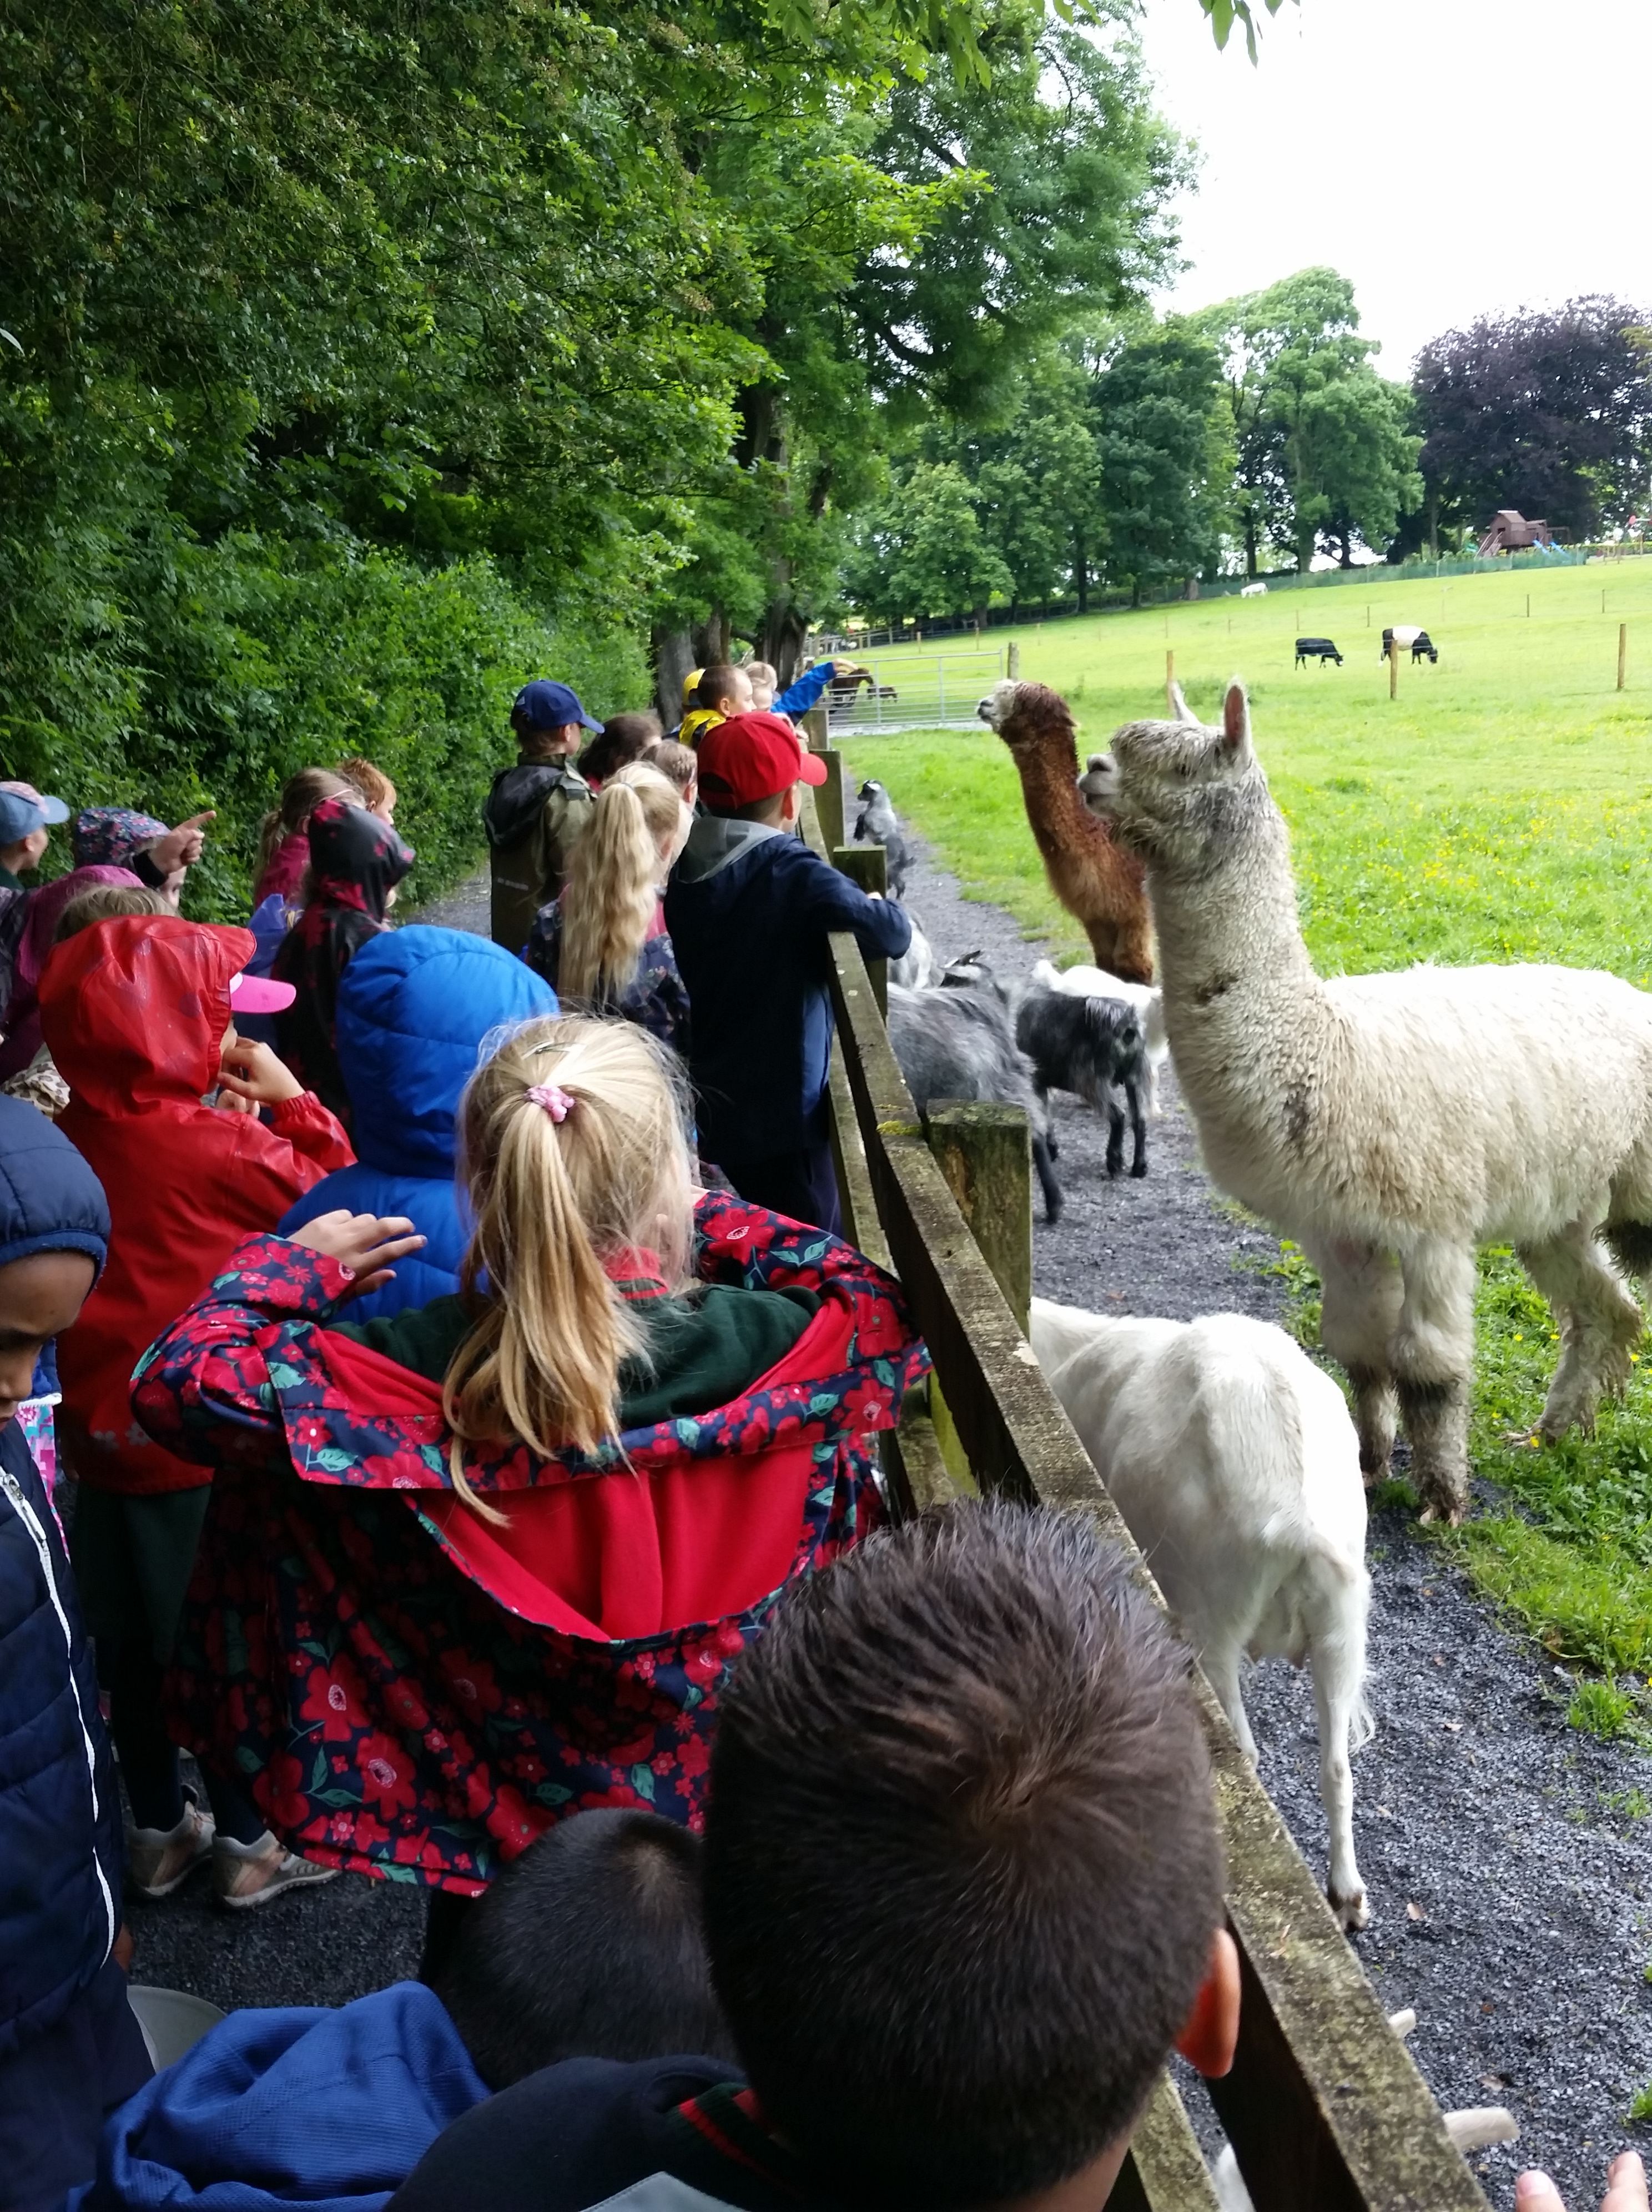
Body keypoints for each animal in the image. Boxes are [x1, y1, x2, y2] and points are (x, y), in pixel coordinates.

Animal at [853, 778, 911, 899]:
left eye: (865, 790)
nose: (859, 797)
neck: (880, 806)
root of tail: (903, 855)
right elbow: (861, 816)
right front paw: (858, 834)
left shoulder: (873, 824)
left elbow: (862, 817)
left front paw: (859, 835)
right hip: (895, 869)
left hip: (889, 867)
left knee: (899, 883)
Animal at [976, 679, 1153, 985]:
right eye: (998, 689)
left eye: (1023, 702)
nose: (983, 704)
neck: (1099, 836)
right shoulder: (1096, 916)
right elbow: (1106, 968)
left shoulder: (1136, 912)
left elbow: (1136, 970)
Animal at [1015, 986, 1148, 1179]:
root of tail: (1127, 1023)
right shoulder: (1039, 1083)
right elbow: (1045, 1114)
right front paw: (1051, 1149)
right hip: (1134, 1077)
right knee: (1140, 1121)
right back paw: (1140, 1167)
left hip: (1092, 1081)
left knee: (1118, 1116)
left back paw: (1114, 1161)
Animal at [1030, 1296, 1373, 1929]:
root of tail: (1302, 1525)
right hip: (1339, 1630)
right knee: (1337, 1768)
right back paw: (1346, 1898)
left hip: (1213, 1618)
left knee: (1245, 1753)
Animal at [1084, 677, 1652, 1523]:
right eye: (1120, 747)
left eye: (1185, 766)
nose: (1090, 772)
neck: (1320, 1049)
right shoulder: (1340, 1230)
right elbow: (1358, 1351)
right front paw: (1369, 1464)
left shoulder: (1433, 1226)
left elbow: (1429, 1367)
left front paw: (1442, 1497)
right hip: (1562, 1210)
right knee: (1606, 1311)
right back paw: (1552, 1434)